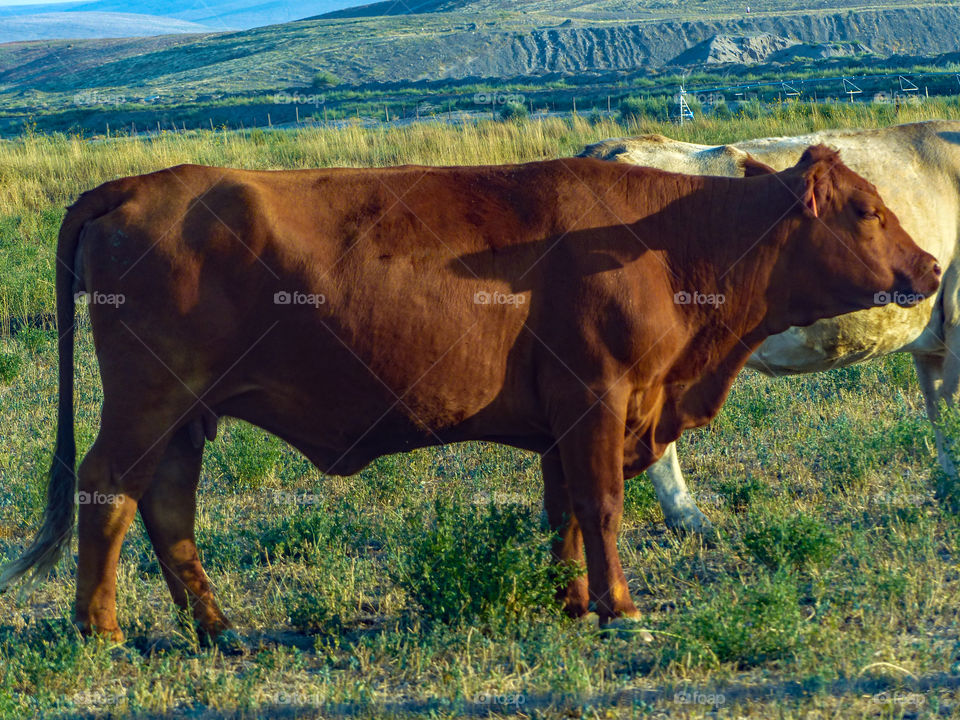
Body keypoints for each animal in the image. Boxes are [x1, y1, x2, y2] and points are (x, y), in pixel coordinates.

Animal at [0, 145, 940, 640]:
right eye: (864, 210)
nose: (932, 265)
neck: (669, 242)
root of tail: (140, 184)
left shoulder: (567, 416)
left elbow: (563, 511)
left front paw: (570, 600)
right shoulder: (598, 396)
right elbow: (601, 505)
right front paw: (621, 607)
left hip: (186, 415)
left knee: (167, 507)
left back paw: (219, 631)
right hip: (147, 402)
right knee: (108, 492)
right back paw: (100, 628)